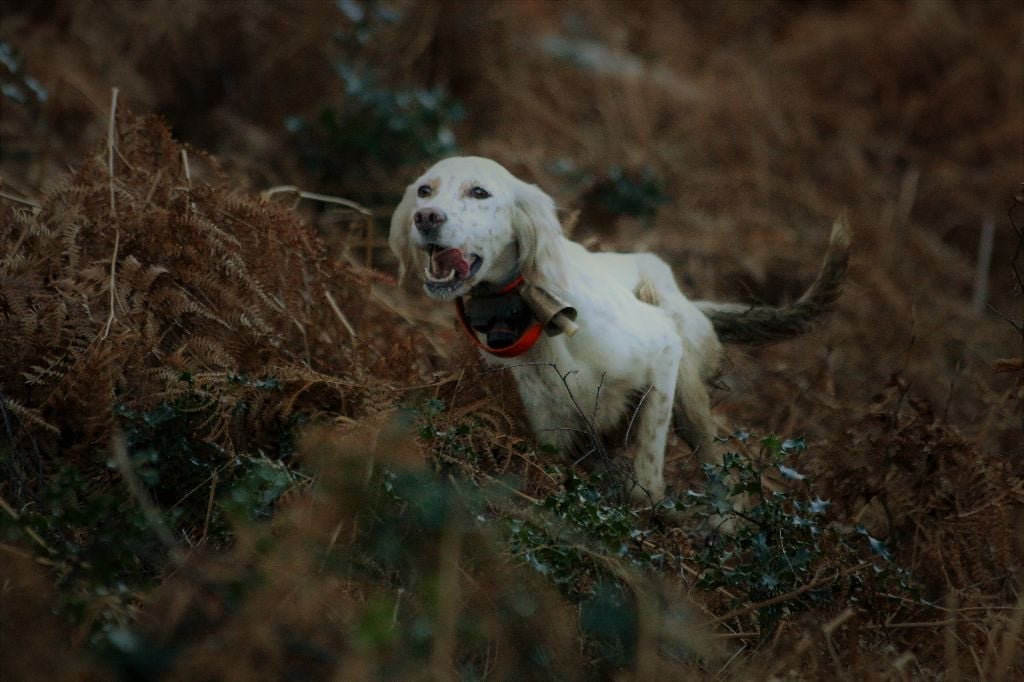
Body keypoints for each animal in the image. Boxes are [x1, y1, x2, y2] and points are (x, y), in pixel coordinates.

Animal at [391, 156, 847, 501]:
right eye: (424, 191)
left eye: (480, 193)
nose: (426, 217)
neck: (536, 311)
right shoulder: (552, 429)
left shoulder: (663, 351)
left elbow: (645, 479)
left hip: (687, 391)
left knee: (722, 472)